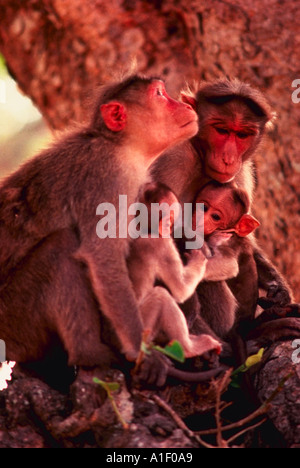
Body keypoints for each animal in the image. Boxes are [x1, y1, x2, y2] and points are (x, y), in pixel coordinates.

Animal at [125, 181, 221, 360]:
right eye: (170, 220)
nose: (170, 228)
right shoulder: (162, 244)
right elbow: (180, 289)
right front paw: (198, 259)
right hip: (143, 332)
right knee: (161, 296)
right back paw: (189, 348)